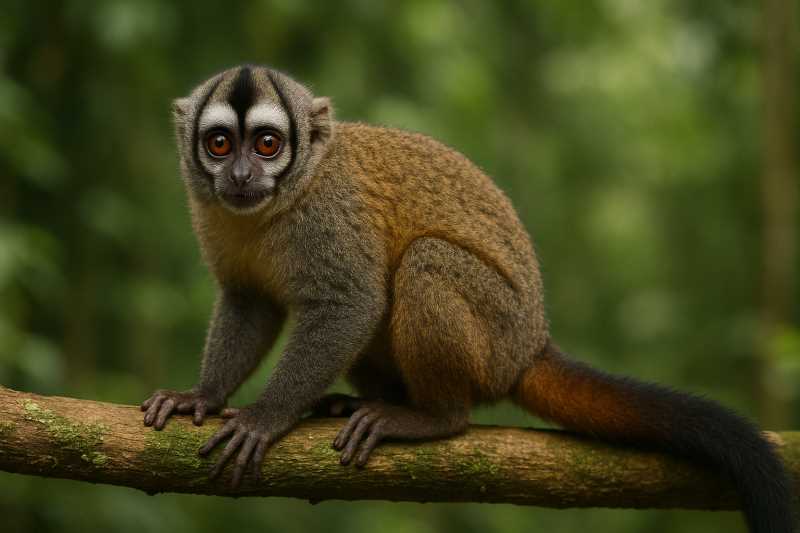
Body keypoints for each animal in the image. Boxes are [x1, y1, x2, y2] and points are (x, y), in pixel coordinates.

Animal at [140, 65, 794, 532]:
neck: (279, 204)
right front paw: (202, 396)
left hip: (495, 337)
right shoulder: (212, 216)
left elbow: (351, 302)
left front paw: (264, 418)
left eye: (268, 145)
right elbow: (249, 302)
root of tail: (530, 344)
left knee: (427, 263)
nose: (241, 177)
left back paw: (432, 417)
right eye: (220, 144)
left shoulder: (327, 217)